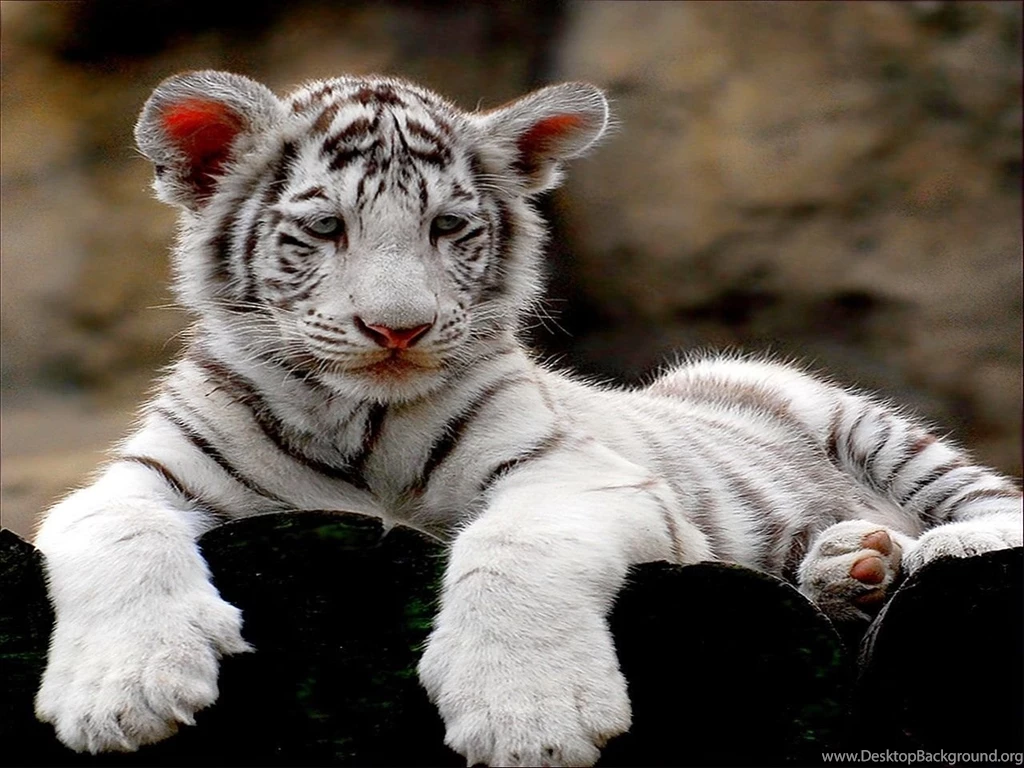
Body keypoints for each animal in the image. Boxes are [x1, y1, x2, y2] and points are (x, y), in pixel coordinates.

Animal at [33, 70, 1022, 767]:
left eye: (447, 228)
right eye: (324, 230)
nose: (398, 328)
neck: (357, 420)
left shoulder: (577, 470)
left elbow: (515, 546)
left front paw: (528, 715)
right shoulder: (141, 478)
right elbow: (113, 530)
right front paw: (121, 694)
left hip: (846, 416)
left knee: (985, 500)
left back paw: (929, 548)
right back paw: (852, 566)